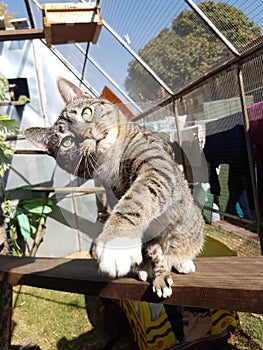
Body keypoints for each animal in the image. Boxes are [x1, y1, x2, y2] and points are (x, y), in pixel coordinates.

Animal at [23, 77, 205, 298]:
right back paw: (146, 269)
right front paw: (154, 271)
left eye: (86, 112)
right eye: (67, 141)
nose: (88, 134)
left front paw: (117, 242)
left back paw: (182, 262)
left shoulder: (158, 165)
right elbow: (152, 248)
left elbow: (136, 200)